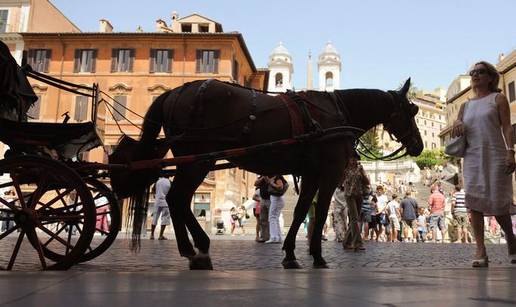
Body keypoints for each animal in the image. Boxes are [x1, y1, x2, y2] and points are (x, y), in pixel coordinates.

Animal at [109, 79, 424, 270]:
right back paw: (195, 249)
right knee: (177, 199)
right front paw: (317, 257)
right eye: (412, 110)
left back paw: (197, 249)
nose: (419, 146)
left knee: (180, 200)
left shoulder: (310, 174)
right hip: (197, 160)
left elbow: (300, 212)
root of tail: (175, 93)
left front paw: (291, 255)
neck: (335, 113)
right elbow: (320, 213)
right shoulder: (330, 172)